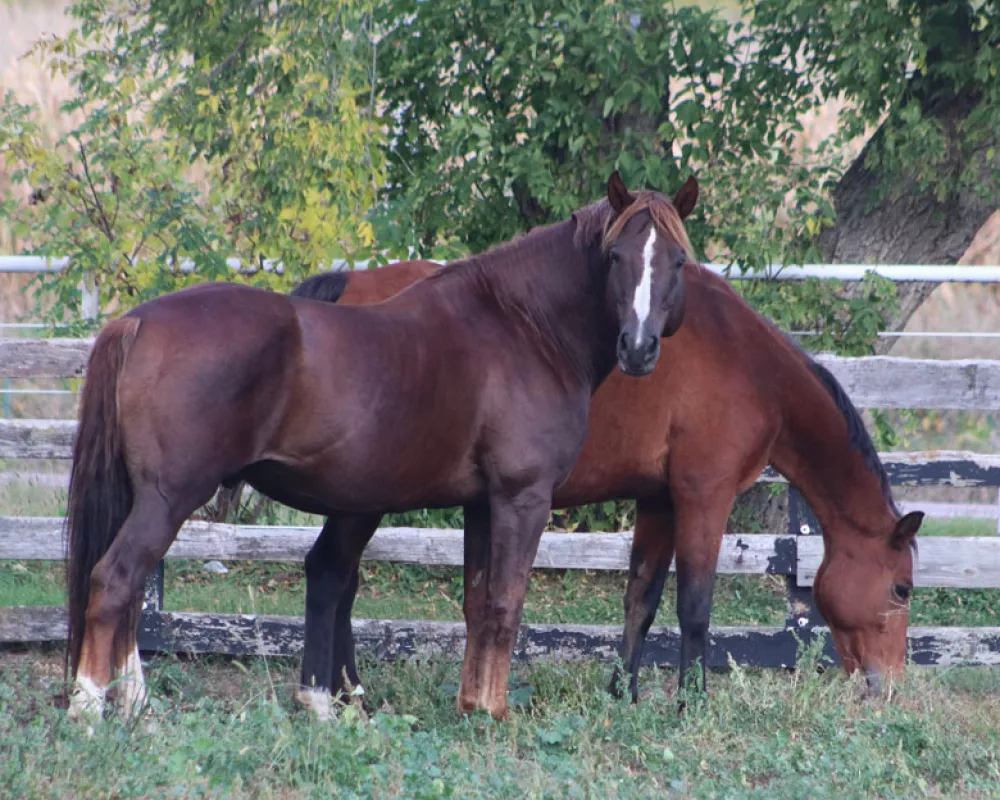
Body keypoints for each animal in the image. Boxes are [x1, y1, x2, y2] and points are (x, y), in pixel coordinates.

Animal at [66, 172, 700, 720]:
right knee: (115, 580)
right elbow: (504, 604)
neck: (524, 327)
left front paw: (470, 705)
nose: (638, 348)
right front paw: (493, 713)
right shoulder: (522, 499)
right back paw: (89, 710)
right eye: (615, 257)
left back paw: (138, 707)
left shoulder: (481, 503)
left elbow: (477, 605)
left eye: (677, 260)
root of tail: (136, 322)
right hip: (169, 498)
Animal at [294, 256, 920, 708]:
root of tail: (349, 285)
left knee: (343, 579)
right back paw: (340, 694)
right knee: (334, 575)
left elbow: (641, 599)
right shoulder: (703, 495)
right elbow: (695, 605)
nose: (889, 684)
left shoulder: (659, 501)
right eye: (902, 589)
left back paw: (350, 692)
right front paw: (692, 703)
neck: (750, 364)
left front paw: (625, 693)